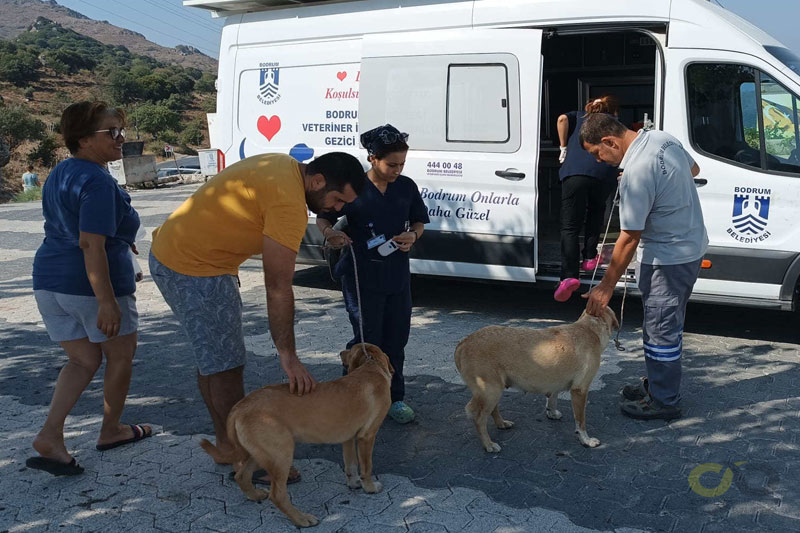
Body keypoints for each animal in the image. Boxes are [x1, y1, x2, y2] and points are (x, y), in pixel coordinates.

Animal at [200, 342, 394, 524]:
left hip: (261, 452)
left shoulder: (348, 438)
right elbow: (367, 467)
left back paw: (255, 495)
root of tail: (240, 407)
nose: (340, 352)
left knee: (241, 476)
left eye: (350, 350)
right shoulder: (367, 436)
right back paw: (302, 519)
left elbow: (350, 465)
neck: (371, 366)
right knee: (277, 495)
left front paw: (354, 483)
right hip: (282, 453)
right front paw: (370, 488)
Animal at [456, 308, 620, 454]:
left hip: (493, 390)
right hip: (490, 391)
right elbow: (581, 422)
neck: (589, 329)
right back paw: (488, 444)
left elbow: (552, 398)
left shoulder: (555, 382)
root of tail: (464, 341)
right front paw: (585, 440)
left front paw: (551, 412)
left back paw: (501, 424)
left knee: (492, 410)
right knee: (479, 419)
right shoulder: (580, 390)